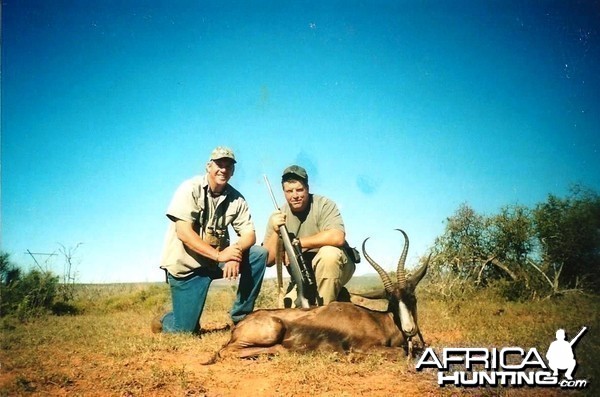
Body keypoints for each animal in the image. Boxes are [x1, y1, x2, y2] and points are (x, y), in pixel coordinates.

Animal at [213, 227, 428, 360]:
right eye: (392, 301)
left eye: (412, 297)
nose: (410, 329)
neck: (380, 321)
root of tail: (240, 325)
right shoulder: (366, 347)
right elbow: (399, 353)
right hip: (270, 331)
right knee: (225, 351)